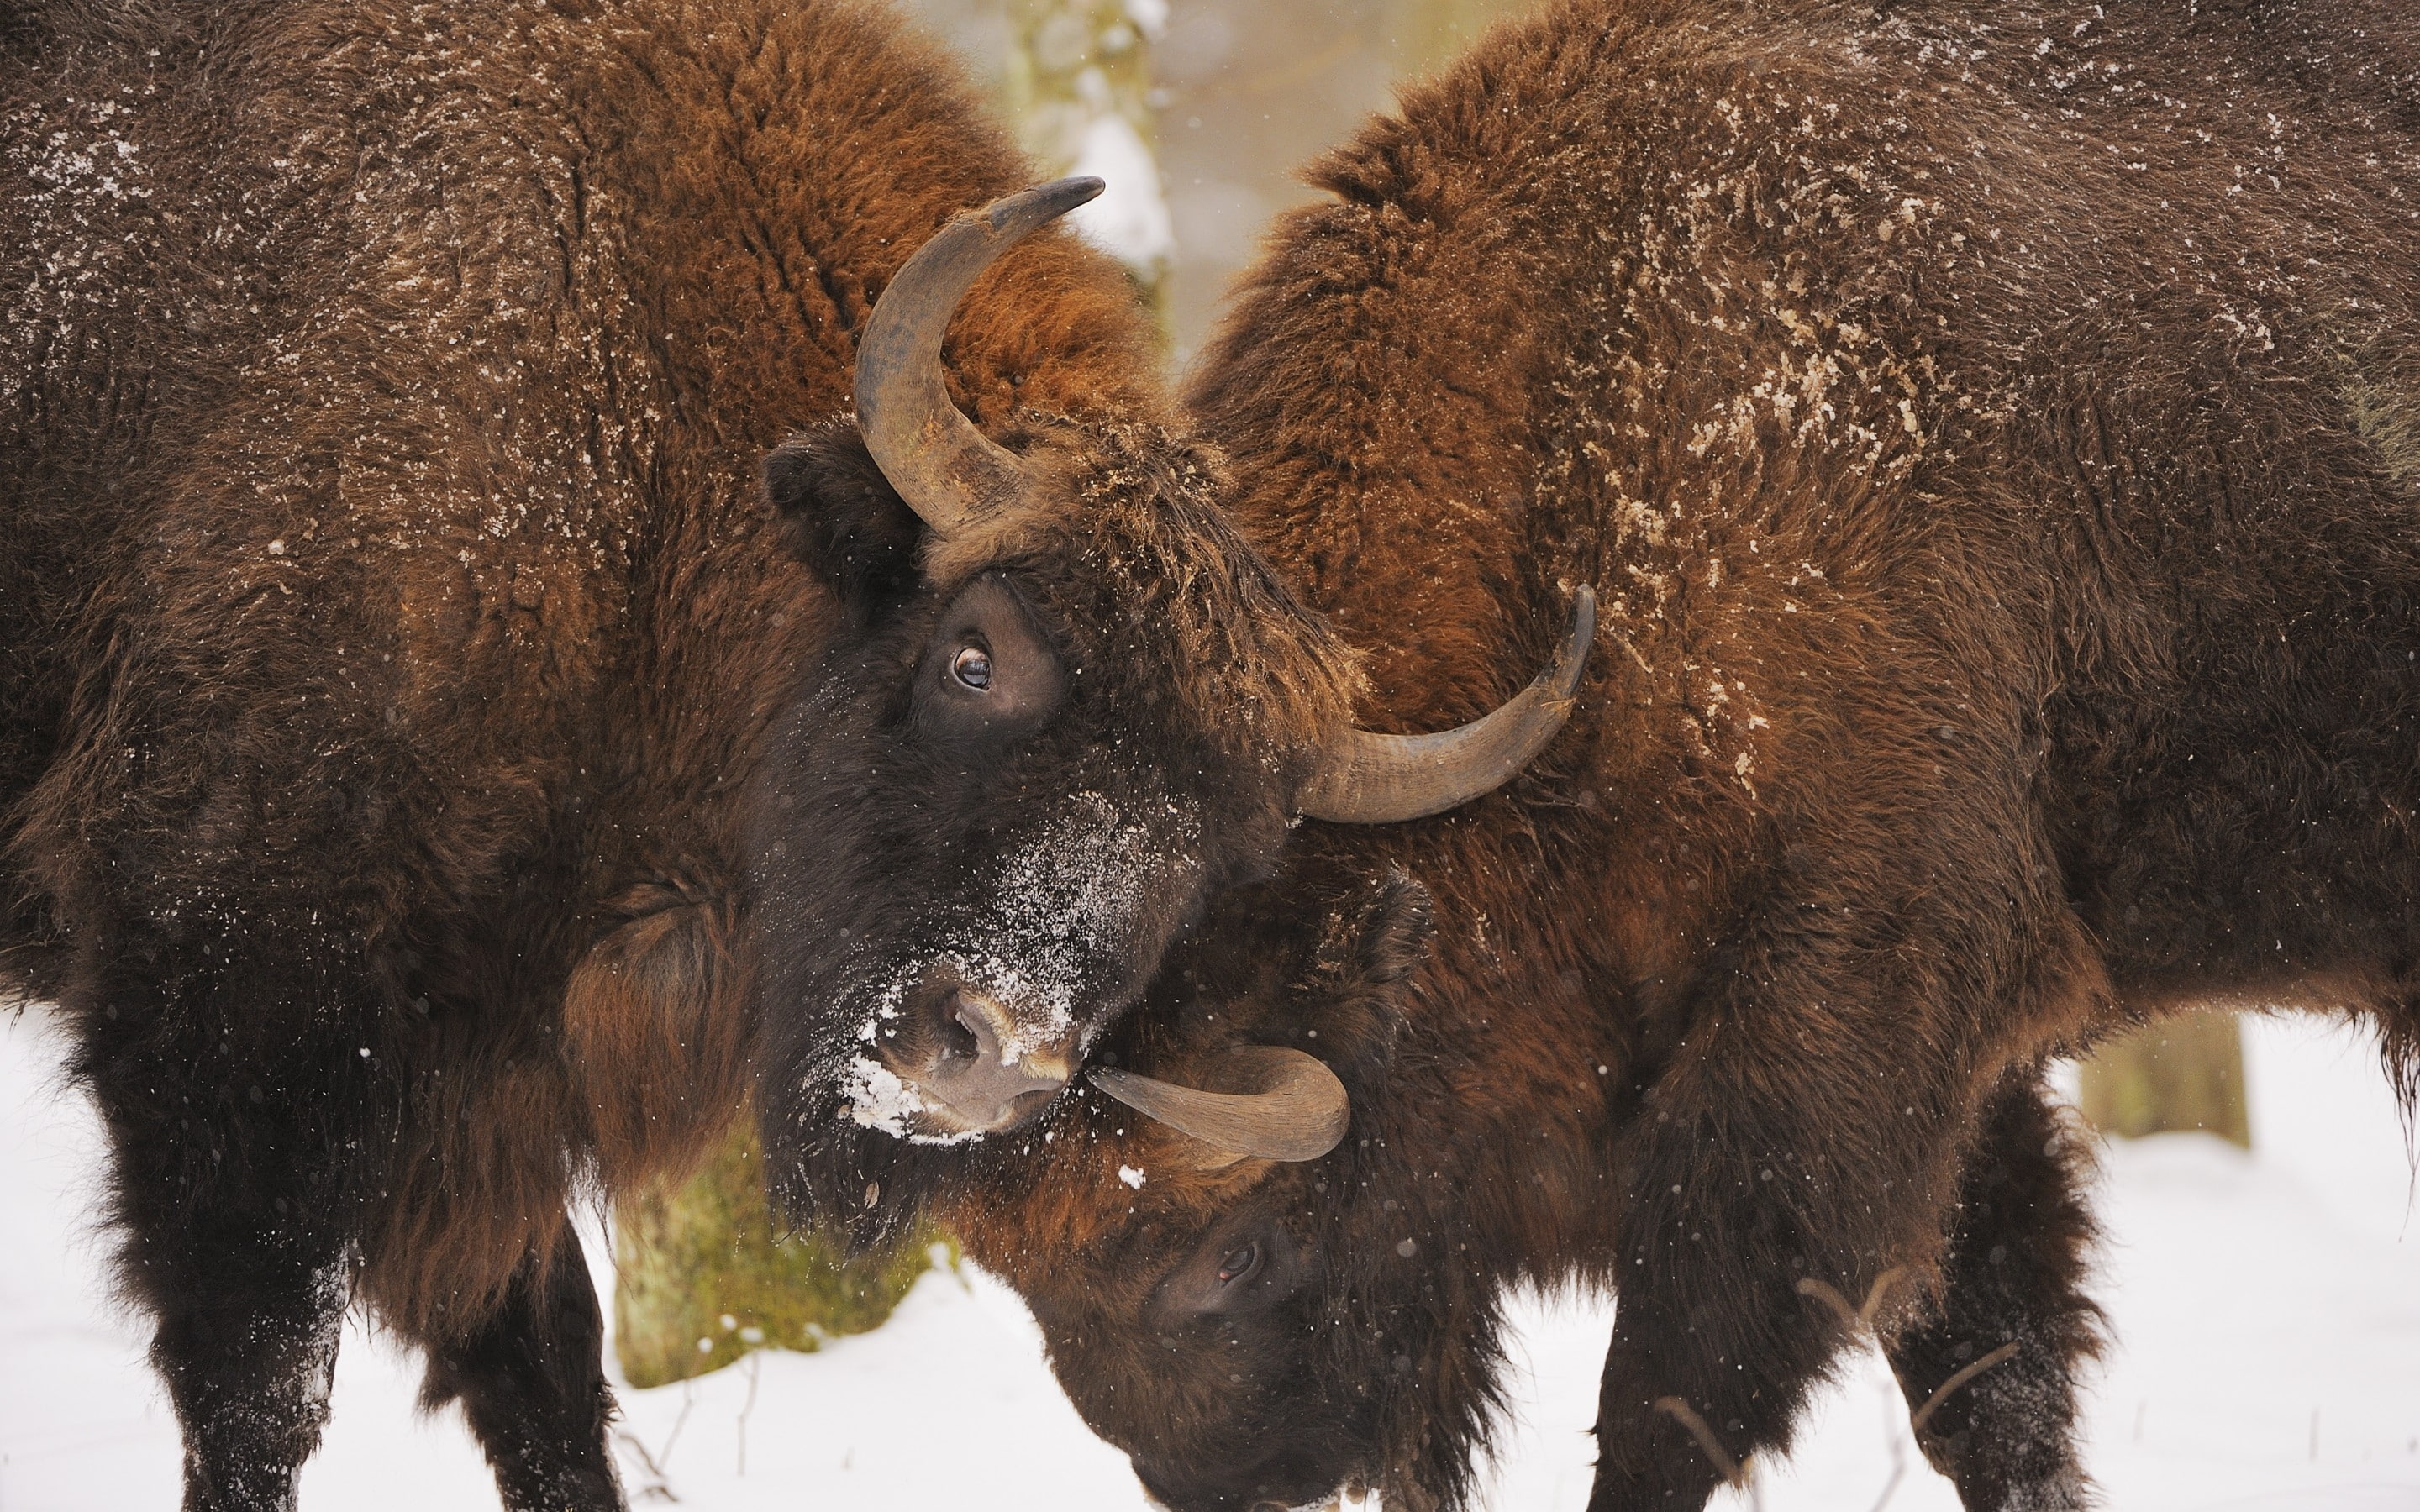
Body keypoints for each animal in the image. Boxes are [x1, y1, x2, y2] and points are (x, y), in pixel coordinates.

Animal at [0, 1, 1574, 1506]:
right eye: (971, 655)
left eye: (1231, 846)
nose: (991, 1060)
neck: (622, 424)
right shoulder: (231, 1021)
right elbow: (265, 1386)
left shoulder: (490, 1093)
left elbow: (544, 1374)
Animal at [939, 0, 2420, 1508]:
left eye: (1233, 1249)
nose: (1229, 1476)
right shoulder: (1963, 1067)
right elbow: (1985, 1373)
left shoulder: (1835, 1007)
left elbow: (1678, 1386)